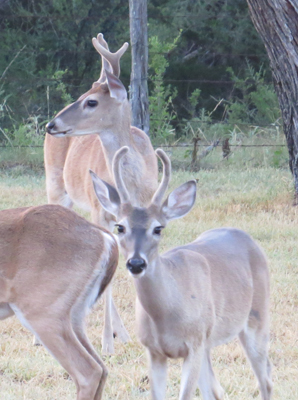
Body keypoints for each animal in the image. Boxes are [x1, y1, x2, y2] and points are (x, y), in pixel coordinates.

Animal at [44, 33, 158, 354]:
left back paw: (123, 332)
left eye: (91, 101)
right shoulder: (101, 211)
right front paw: (107, 342)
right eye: (83, 95)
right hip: (55, 185)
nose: (51, 124)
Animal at [89, 146, 274, 400]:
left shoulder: (193, 345)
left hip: (257, 317)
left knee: (265, 380)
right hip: (209, 341)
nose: (136, 263)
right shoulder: (154, 350)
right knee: (217, 390)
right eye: (120, 227)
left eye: (158, 228)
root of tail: (246, 237)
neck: (166, 314)